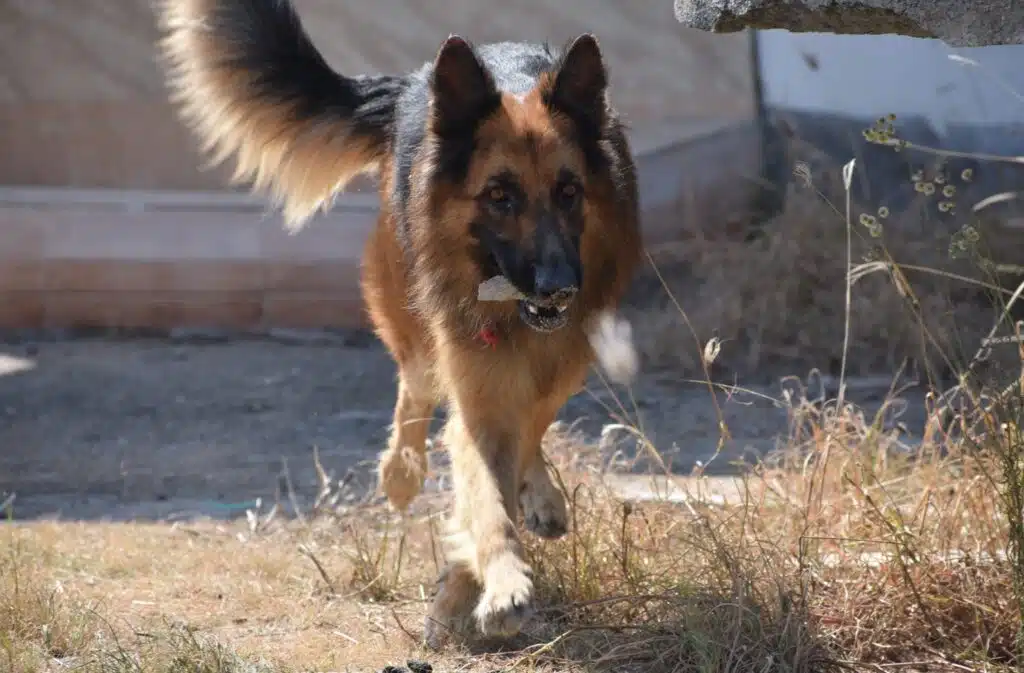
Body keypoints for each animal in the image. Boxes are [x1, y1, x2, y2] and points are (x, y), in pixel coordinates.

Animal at [155, 0, 638, 643]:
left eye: (569, 192)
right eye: (500, 196)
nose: (560, 288)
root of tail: (416, 86)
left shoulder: (550, 365)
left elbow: (513, 459)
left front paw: (467, 583)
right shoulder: (481, 393)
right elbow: (488, 501)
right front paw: (498, 585)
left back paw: (537, 496)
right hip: (410, 313)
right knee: (416, 385)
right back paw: (402, 473)